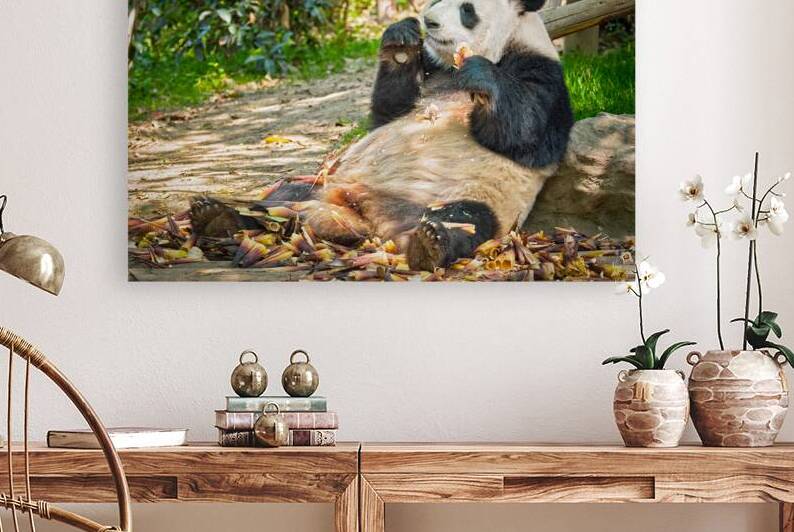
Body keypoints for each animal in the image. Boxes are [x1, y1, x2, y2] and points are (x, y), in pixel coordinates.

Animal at [191, 0, 574, 271]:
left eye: (467, 9)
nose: (428, 21)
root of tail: (367, 217)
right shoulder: (432, 72)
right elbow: (388, 111)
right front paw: (401, 40)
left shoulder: (543, 73)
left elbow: (527, 135)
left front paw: (481, 76)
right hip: (323, 183)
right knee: (283, 197)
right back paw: (220, 217)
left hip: (473, 197)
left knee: (467, 218)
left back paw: (430, 244)